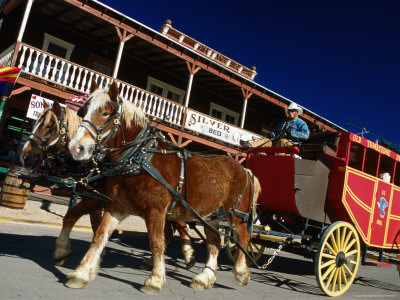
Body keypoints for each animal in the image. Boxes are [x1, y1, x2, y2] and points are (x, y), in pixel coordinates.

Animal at [21, 95, 196, 268]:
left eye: (49, 126)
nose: (25, 156)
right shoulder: (94, 197)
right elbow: (82, 219)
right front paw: (80, 254)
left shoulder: (97, 199)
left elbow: (92, 222)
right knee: (170, 230)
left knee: (181, 226)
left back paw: (189, 256)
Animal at [68, 81, 262, 292]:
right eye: (83, 111)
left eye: (105, 113)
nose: (76, 147)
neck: (138, 156)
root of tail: (245, 170)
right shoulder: (116, 207)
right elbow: (100, 235)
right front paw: (81, 273)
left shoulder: (156, 211)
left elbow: (156, 243)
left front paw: (155, 279)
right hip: (211, 215)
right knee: (214, 242)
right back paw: (205, 277)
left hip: (237, 214)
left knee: (243, 239)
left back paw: (241, 272)